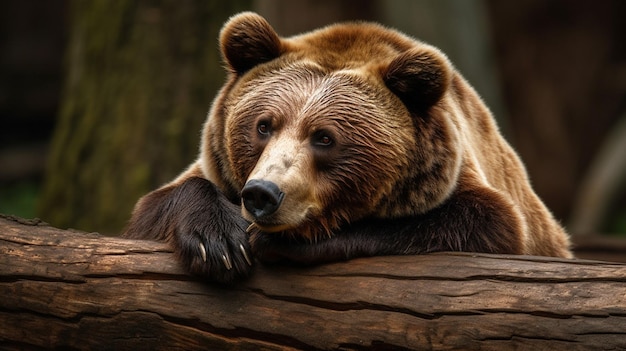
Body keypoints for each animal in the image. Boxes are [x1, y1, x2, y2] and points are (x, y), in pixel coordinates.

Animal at [123, 12, 572, 284]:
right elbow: (156, 205)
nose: (262, 194)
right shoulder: (215, 168)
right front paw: (218, 244)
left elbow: (486, 222)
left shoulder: (469, 189)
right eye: (263, 126)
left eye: (324, 137)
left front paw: (282, 241)